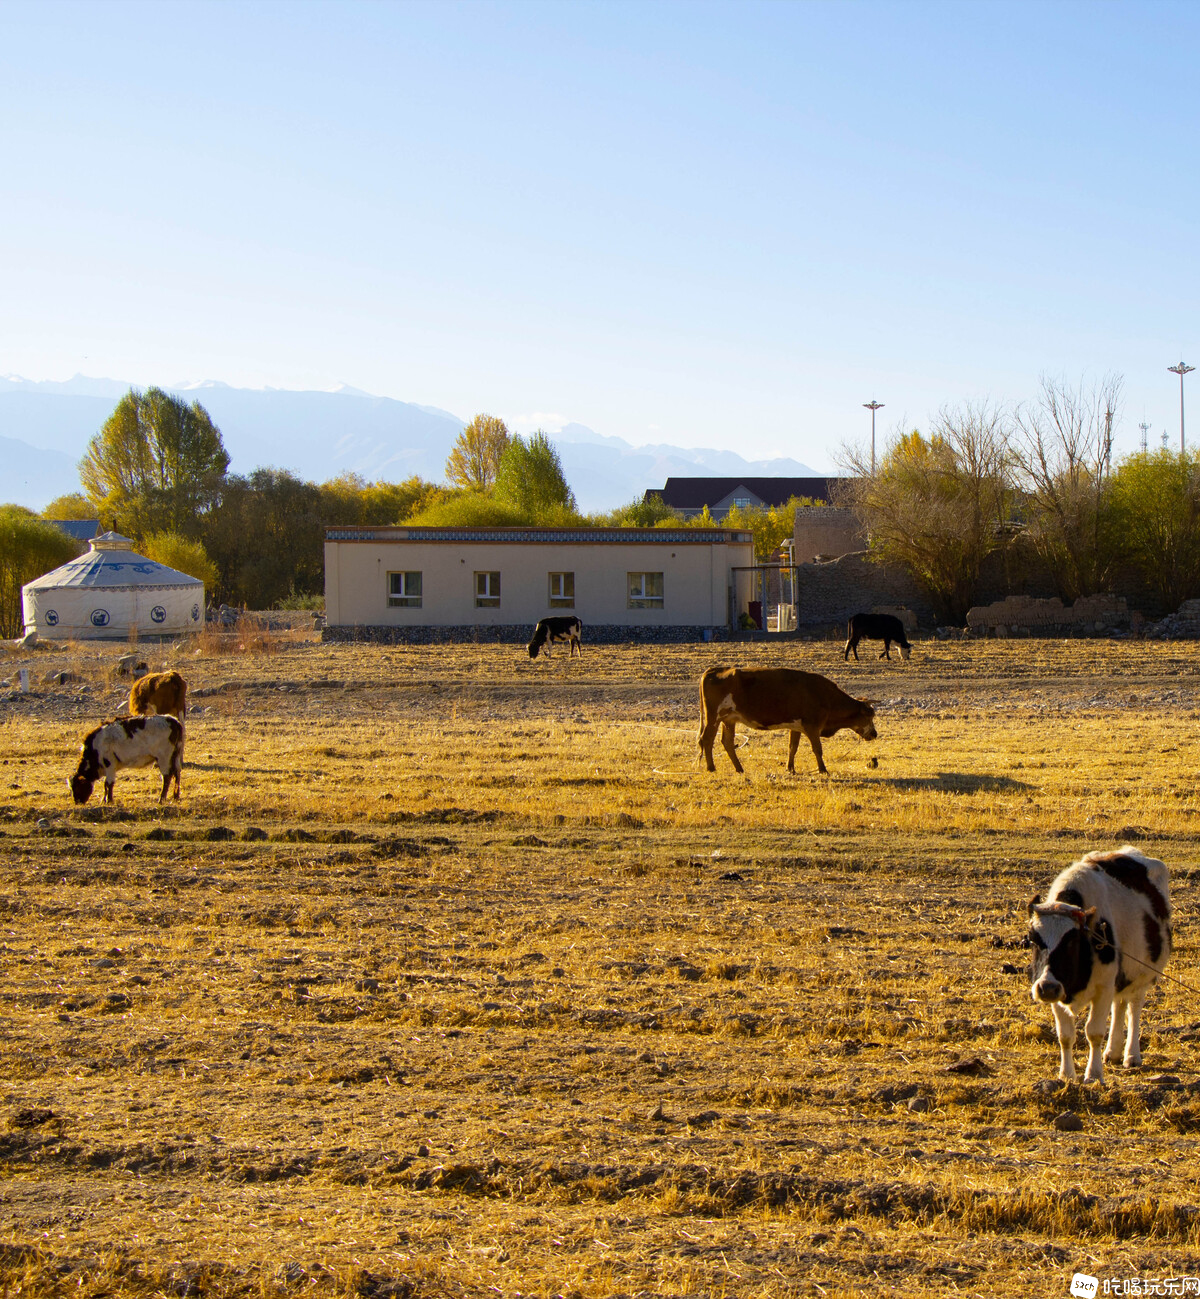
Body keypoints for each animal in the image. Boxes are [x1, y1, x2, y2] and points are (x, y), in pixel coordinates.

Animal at [696, 665, 877, 774]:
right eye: (869, 716)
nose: (874, 734)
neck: (826, 697)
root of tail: (713, 670)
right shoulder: (812, 727)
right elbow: (817, 749)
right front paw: (823, 769)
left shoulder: (796, 727)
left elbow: (792, 747)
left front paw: (790, 769)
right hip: (714, 717)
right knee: (707, 739)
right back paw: (711, 767)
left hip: (729, 720)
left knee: (727, 742)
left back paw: (739, 769)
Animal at [1023, 841, 1174, 1085]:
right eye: (1032, 938)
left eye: (1071, 940)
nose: (1046, 987)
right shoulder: (1061, 990)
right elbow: (1065, 1035)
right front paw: (1066, 1074)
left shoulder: (1103, 987)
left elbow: (1093, 1032)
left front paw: (1093, 1075)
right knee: (1119, 1005)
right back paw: (1112, 1052)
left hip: (1141, 976)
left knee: (1133, 1009)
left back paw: (1131, 1055)